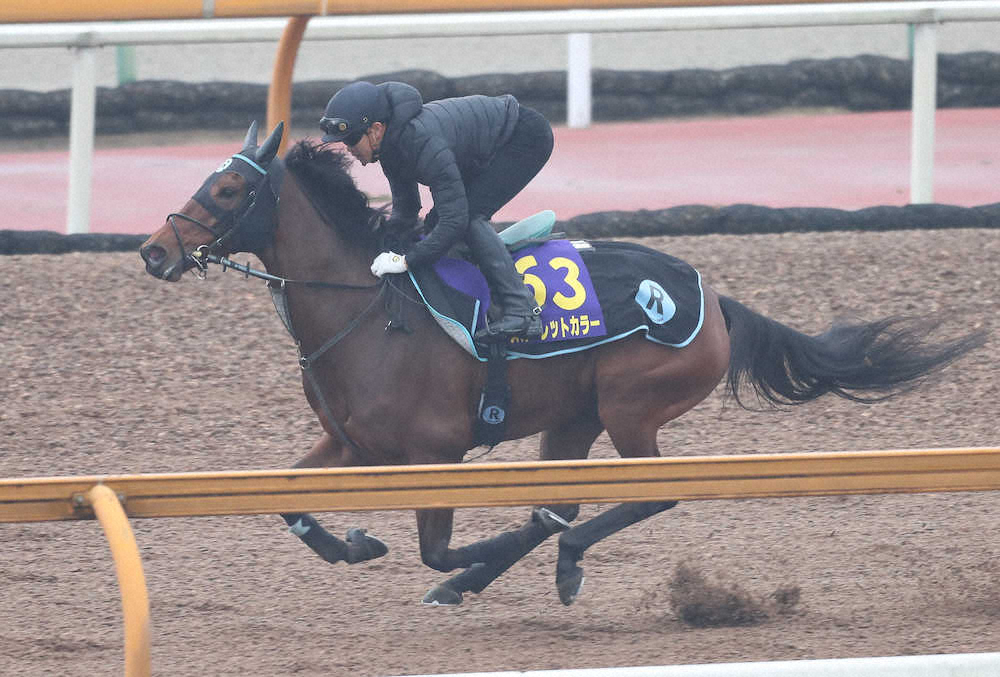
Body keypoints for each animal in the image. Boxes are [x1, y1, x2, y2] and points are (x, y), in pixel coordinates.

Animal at [139, 122, 985, 607]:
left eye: (229, 187)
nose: (153, 249)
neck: (368, 308)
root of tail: (714, 299)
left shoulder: (435, 450)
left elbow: (434, 543)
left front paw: (456, 557)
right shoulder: (352, 445)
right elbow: (287, 497)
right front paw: (354, 544)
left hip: (629, 406)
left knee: (640, 496)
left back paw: (534, 566)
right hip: (575, 418)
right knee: (566, 502)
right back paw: (500, 573)